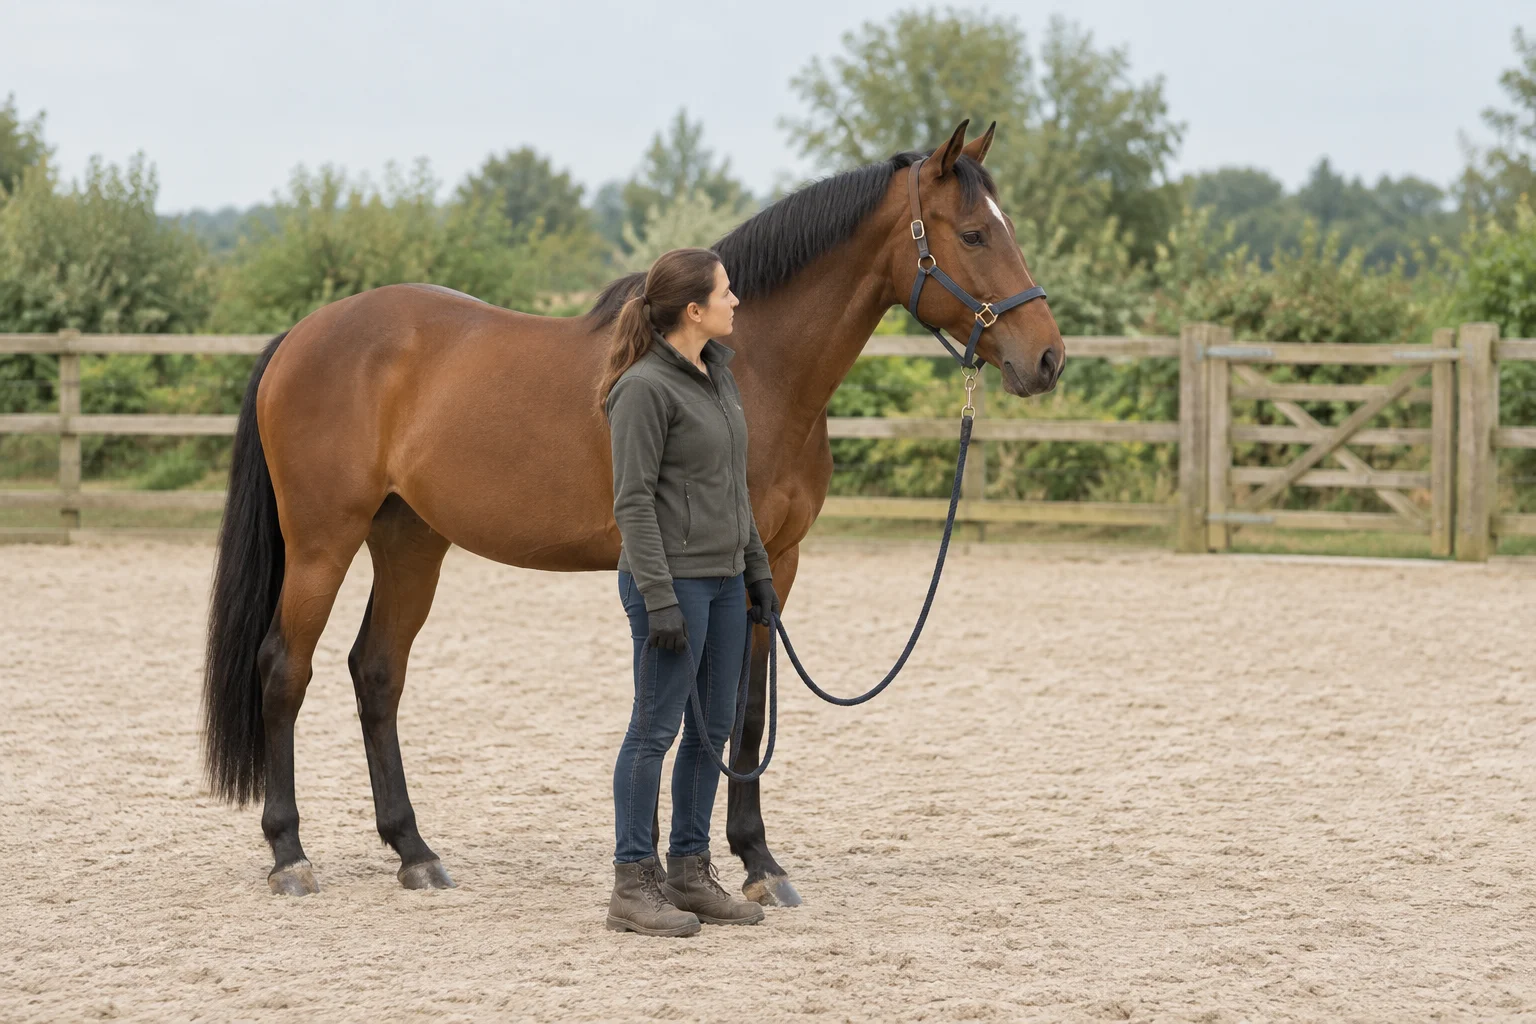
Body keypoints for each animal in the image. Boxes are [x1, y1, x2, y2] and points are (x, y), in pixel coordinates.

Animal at [202, 119, 1065, 901]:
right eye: (975, 233)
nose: (1048, 357)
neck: (745, 368)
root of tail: (301, 336)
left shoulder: (773, 567)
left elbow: (746, 715)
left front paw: (758, 862)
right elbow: (691, 712)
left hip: (411, 541)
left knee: (376, 672)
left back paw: (414, 851)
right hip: (324, 541)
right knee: (285, 669)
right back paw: (290, 855)